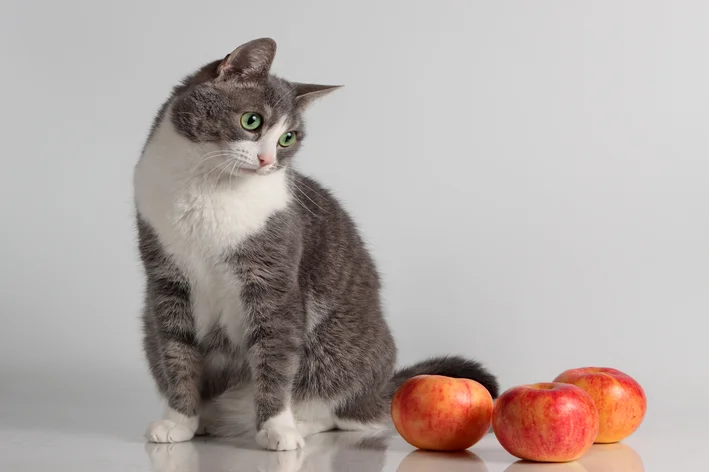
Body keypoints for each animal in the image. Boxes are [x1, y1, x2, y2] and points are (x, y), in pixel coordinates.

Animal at [133, 37, 498, 450]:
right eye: (251, 120)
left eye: (287, 139)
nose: (267, 160)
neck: (206, 188)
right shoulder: (166, 280)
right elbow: (176, 353)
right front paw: (179, 421)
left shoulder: (274, 282)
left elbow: (275, 358)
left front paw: (276, 428)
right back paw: (208, 421)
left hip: (337, 351)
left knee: (336, 410)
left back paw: (295, 423)